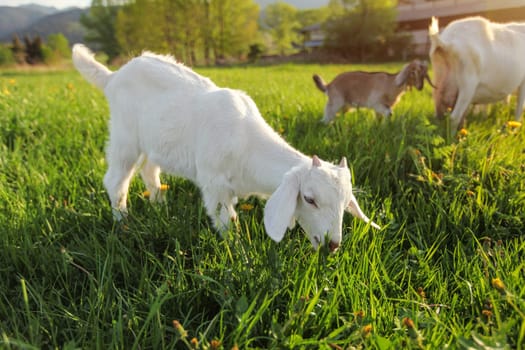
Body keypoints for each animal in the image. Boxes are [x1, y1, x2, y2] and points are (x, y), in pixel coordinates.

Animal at [71, 44, 378, 252]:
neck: (246, 144)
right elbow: (227, 221)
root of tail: (113, 77)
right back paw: (121, 220)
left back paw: (159, 205)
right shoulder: (214, 184)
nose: (332, 244)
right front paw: (237, 253)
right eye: (310, 199)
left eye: (346, 202)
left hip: (154, 141)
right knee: (116, 179)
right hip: (125, 135)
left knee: (149, 169)